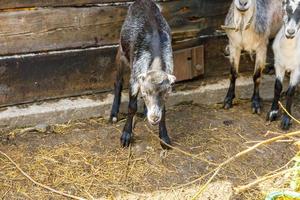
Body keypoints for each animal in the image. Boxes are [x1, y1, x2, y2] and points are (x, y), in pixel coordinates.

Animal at [110, 0, 176, 148]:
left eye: (165, 94)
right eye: (145, 93)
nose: (154, 118)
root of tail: (143, 1)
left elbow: (164, 109)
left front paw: (164, 138)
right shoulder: (135, 77)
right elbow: (132, 106)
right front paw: (126, 136)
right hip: (121, 53)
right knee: (118, 82)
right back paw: (113, 115)